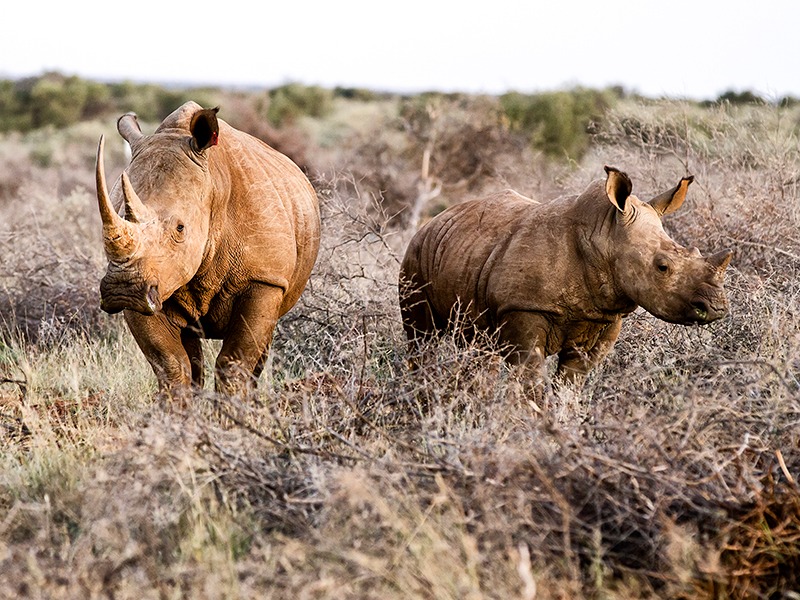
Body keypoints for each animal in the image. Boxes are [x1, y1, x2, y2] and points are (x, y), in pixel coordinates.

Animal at [96, 101, 320, 396]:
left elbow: (234, 362)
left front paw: (233, 409)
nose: (123, 289)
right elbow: (170, 363)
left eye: (180, 228)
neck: (214, 184)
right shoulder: (151, 286)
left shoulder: (265, 279)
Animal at [399, 167, 732, 394]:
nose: (716, 307)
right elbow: (531, 381)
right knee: (422, 338)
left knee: (480, 347)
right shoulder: (523, 307)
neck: (605, 235)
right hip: (415, 256)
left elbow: (571, 384)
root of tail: (433, 220)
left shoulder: (604, 316)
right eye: (662, 267)